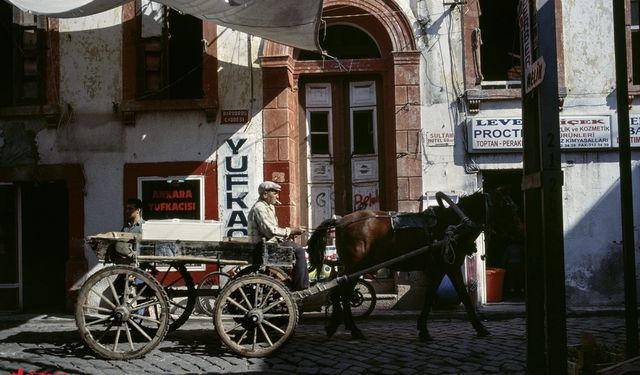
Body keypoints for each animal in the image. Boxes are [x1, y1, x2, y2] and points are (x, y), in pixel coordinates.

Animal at [308, 191, 524, 344]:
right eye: (508, 206)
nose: (520, 231)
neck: (455, 222)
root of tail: (340, 221)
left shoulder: (448, 268)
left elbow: (458, 295)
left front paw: (478, 327)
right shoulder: (441, 268)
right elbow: (435, 297)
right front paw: (425, 330)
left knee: (339, 293)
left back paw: (337, 325)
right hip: (357, 266)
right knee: (343, 294)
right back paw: (352, 329)